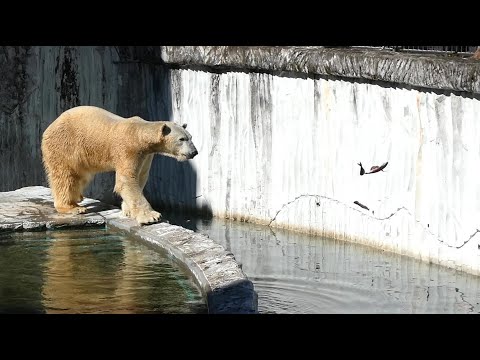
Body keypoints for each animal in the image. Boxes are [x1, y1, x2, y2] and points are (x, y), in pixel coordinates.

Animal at [40, 105, 198, 225]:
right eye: (182, 139)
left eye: (190, 137)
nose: (194, 152)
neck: (141, 134)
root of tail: (49, 127)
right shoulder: (128, 149)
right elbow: (126, 180)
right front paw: (151, 216)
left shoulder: (146, 156)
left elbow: (140, 177)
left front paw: (127, 210)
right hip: (64, 146)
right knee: (65, 177)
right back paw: (72, 207)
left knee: (81, 176)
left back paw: (78, 197)